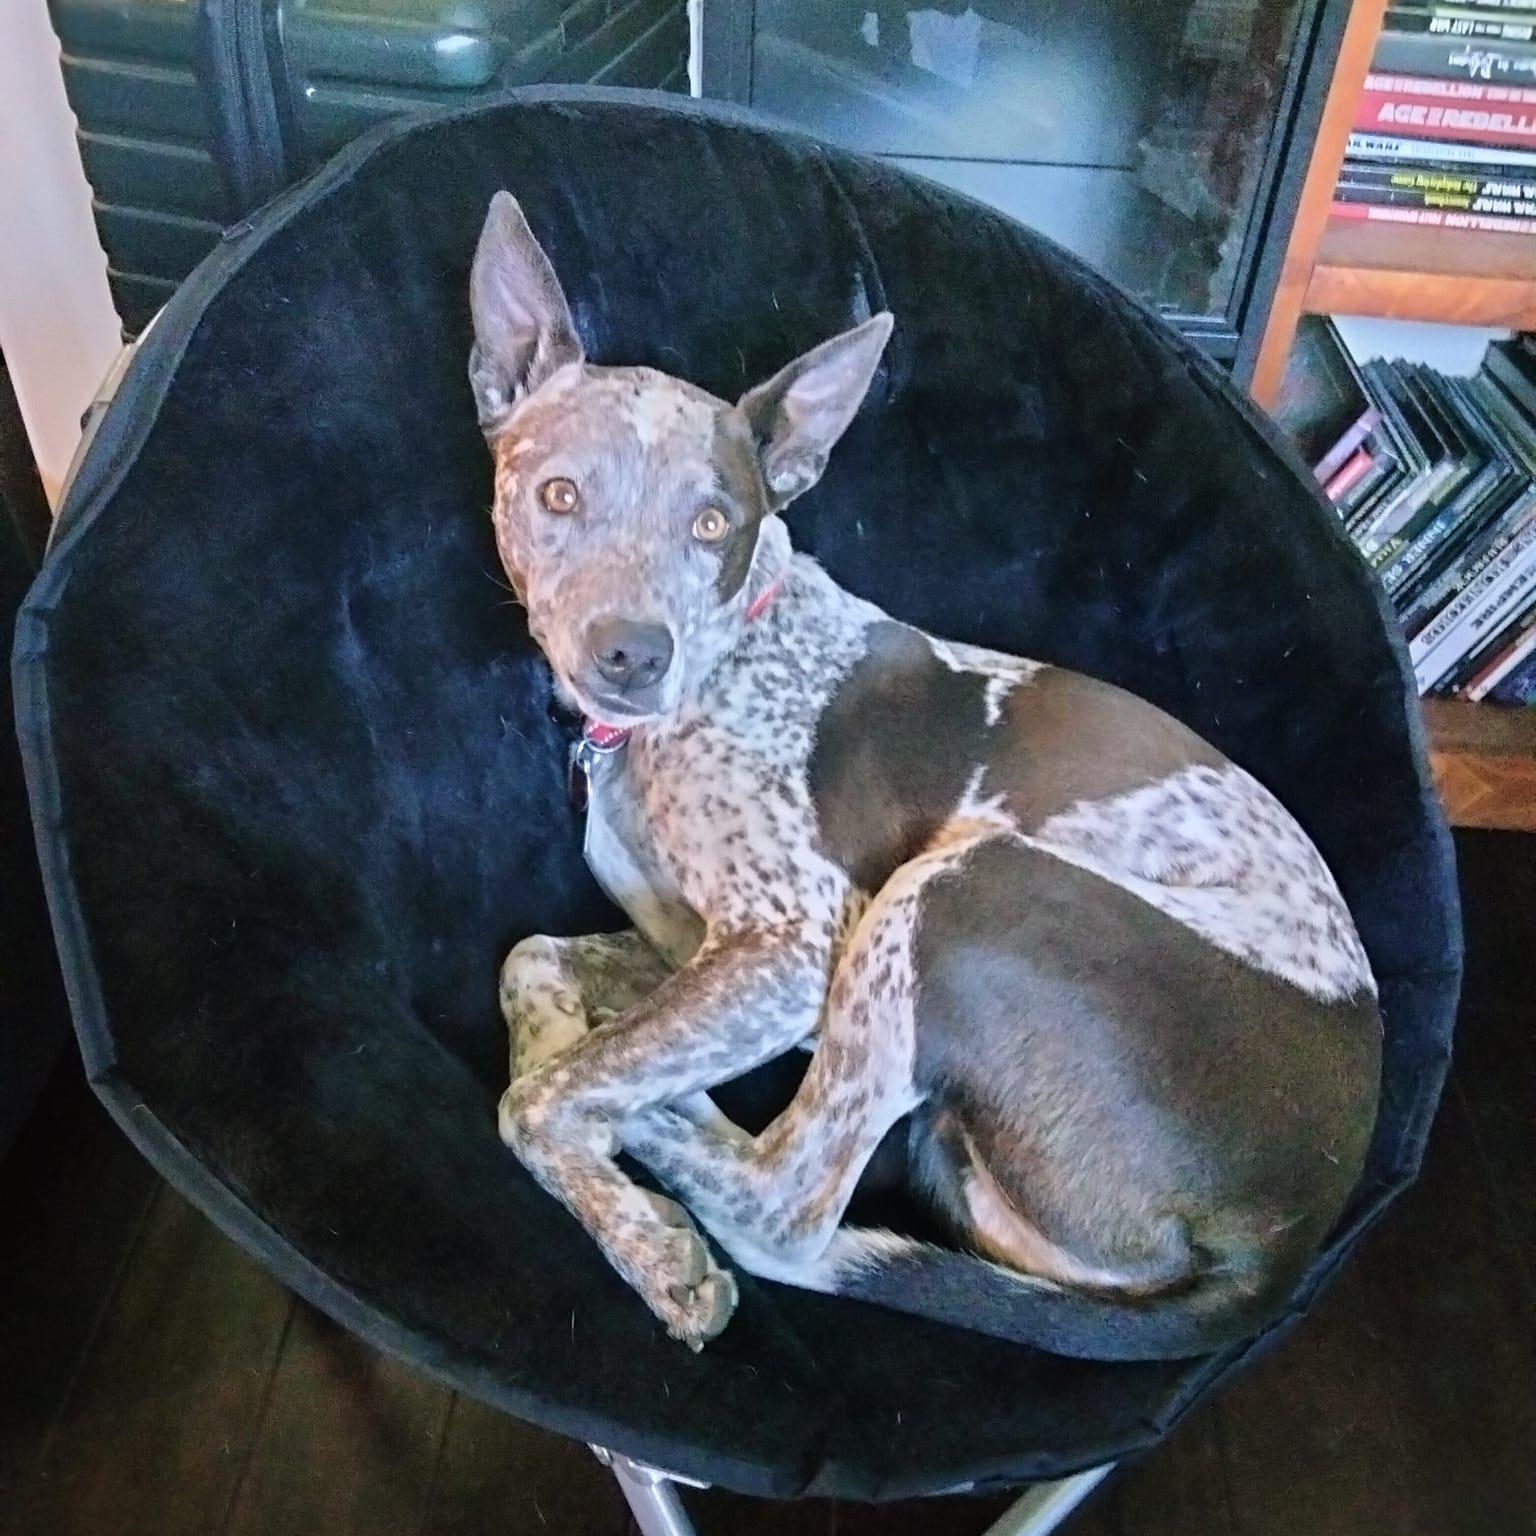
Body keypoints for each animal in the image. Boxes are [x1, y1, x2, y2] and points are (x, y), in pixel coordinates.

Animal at [470, 191, 1382, 1356]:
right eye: (559, 495)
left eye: (714, 524)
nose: (632, 654)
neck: (728, 667)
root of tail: (1284, 1243)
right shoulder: (686, 944)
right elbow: (533, 962)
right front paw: (563, 1059)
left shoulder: (788, 949)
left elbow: (539, 1099)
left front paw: (644, 1237)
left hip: (959, 891)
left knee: (787, 1208)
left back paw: (670, 1132)